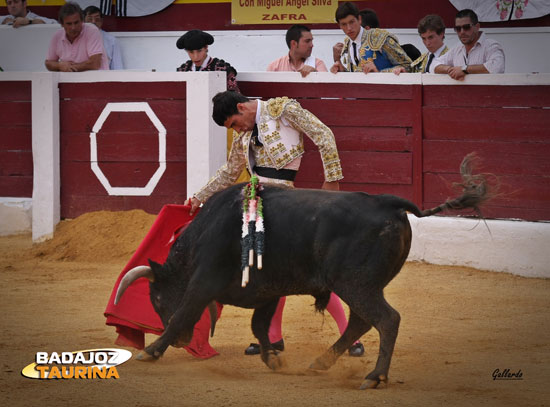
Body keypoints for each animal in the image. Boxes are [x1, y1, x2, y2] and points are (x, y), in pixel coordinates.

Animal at [115, 155, 488, 390]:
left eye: (157, 299)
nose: (180, 343)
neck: (205, 233)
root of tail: (388, 202)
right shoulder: (266, 290)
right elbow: (259, 325)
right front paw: (273, 360)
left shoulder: (203, 283)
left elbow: (185, 312)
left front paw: (151, 351)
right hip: (362, 285)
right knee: (361, 321)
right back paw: (321, 362)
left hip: (356, 284)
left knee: (386, 319)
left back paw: (374, 376)